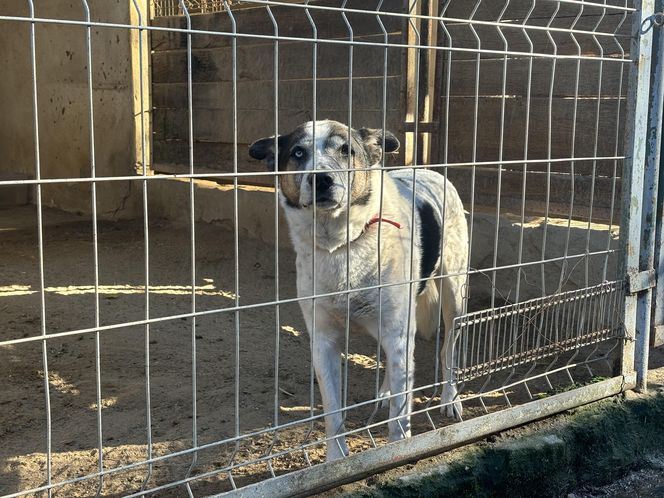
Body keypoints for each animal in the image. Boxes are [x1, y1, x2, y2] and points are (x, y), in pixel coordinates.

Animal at [249, 119, 466, 460]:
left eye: (346, 150)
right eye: (298, 152)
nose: (321, 179)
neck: (341, 246)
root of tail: (430, 171)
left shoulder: (397, 331)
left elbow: (399, 418)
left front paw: (398, 450)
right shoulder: (324, 341)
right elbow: (333, 414)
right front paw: (336, 460)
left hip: (453, 295)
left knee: (448, 351)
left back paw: (450, 398)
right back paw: (386, 391)